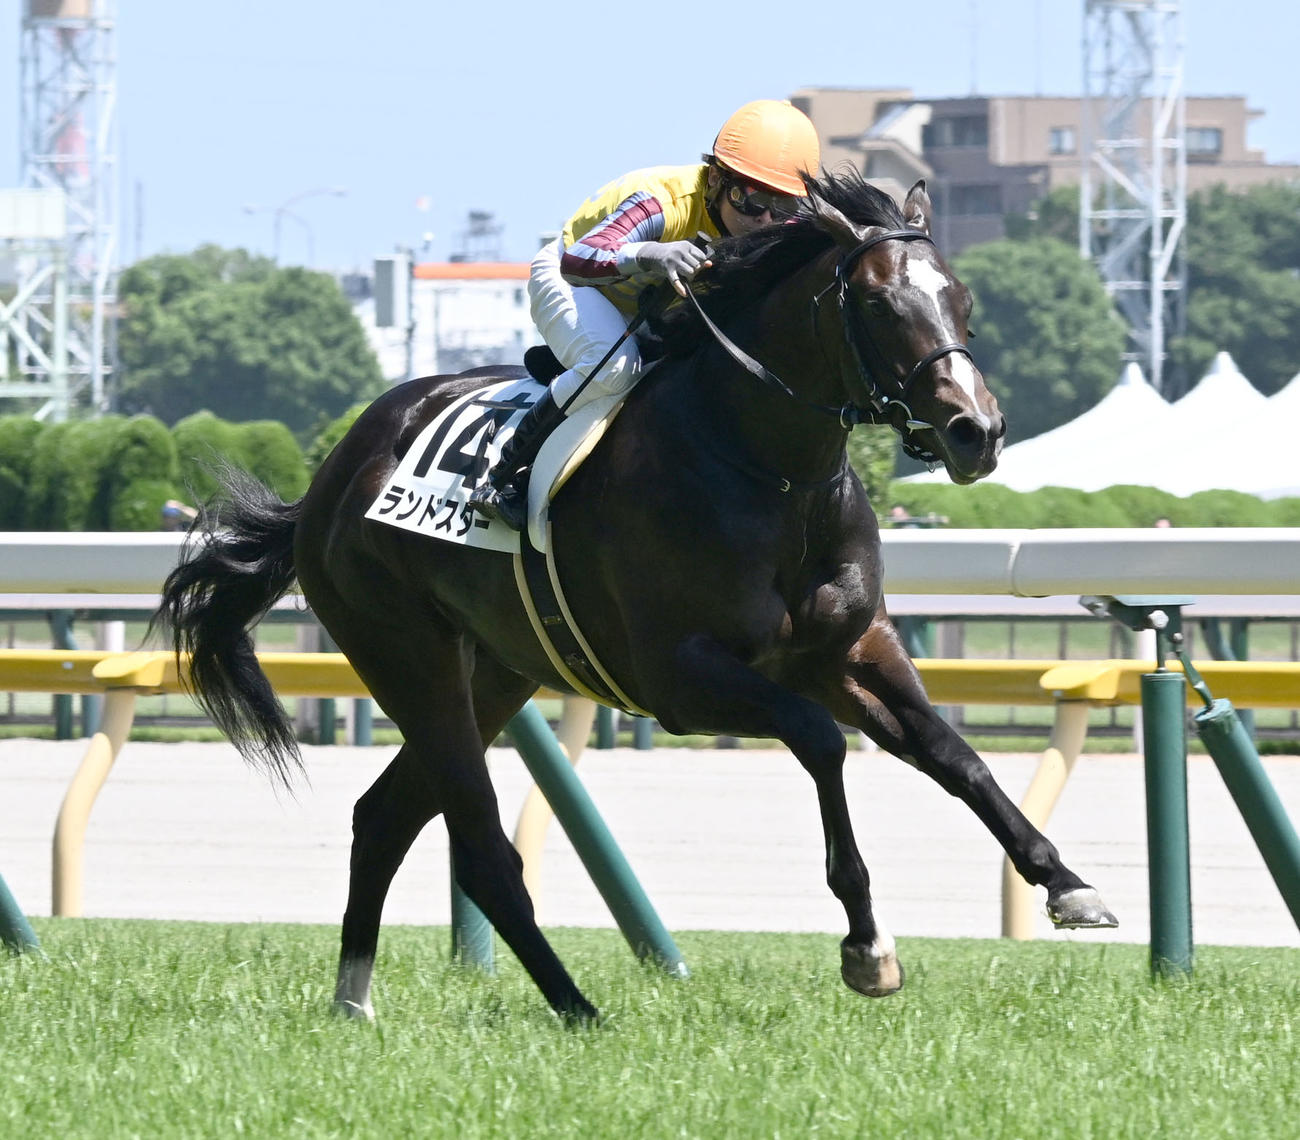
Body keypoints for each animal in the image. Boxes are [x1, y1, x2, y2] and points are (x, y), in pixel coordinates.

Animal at [157, 170, 1116, 1024]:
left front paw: (1068, 885)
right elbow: (819, 741)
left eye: (961, 298)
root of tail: (328, 480)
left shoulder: (848, 648)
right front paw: (866, 946)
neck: (766, 468)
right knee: (484, 851)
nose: (976, 430)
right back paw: (574, 1006)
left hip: (496, 672)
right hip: (407, 656)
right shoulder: (680, 677)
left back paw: (354, 999)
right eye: (880, 305)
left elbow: (952, 754)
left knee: (384, 816)